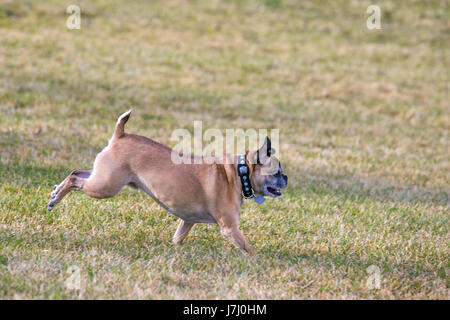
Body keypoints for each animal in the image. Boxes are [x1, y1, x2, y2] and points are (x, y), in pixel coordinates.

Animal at [48, 111, 288, 254]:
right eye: (277, 172)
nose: (286, 178)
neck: (238, 174)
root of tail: (120, 135)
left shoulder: (187, 221)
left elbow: (178, 237)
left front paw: (174, 249)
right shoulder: (230, 228)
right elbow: (248, 247)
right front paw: (259, 259)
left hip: (101, 177)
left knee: (77, 172)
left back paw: (55, 191)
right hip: (105, 187)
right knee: (74, 179)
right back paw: (56, 199)